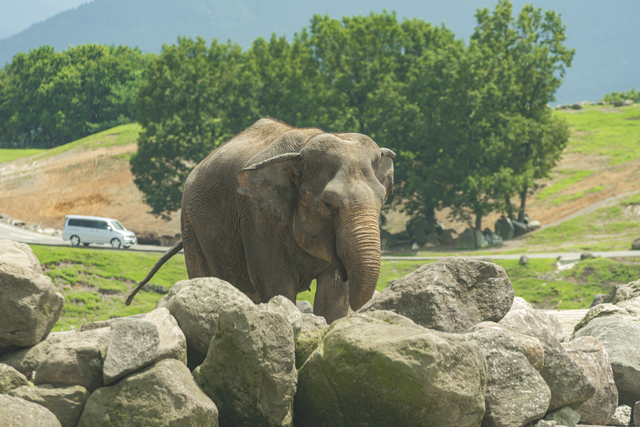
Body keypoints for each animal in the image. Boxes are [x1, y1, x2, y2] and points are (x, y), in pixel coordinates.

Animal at [126, 118, 396, 322]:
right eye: (328, 204)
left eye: (382, 199)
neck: (300, 153)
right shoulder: (256, 215)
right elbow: (278, 285)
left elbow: (333, 297)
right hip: (191, 224)